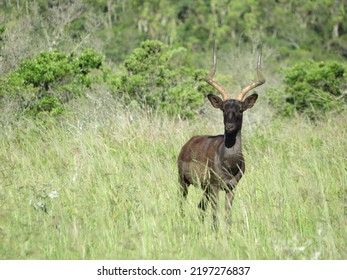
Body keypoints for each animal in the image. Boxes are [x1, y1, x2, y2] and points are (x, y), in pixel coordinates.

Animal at [178, 43, 266, 228]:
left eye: (240, 109)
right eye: (224, 109)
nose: (229, 126)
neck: (229, 163)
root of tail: (188, 144)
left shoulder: (231, 188)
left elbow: (227, 214)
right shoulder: (215, 186)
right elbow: (215, 214)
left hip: (203, 188)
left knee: (200, 207)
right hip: (183, 182)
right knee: (182, 205)